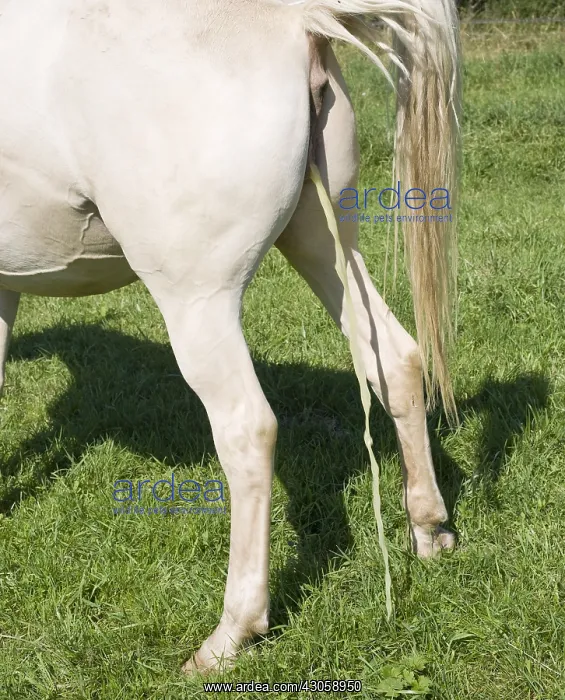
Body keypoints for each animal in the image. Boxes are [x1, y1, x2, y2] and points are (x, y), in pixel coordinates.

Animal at [0, 0, 460, 673]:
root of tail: (294, 20)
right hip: (324, 243)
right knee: (396, 359)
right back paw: (428, 531)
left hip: (199, 299)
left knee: (248, 428)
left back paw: (231, 634)